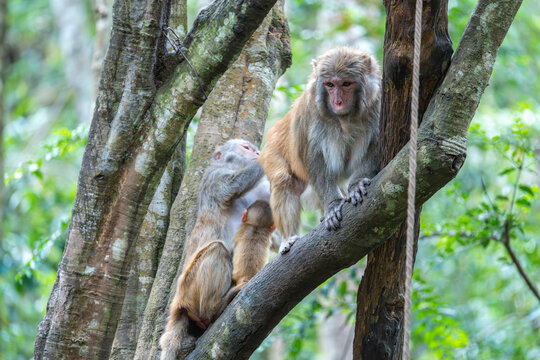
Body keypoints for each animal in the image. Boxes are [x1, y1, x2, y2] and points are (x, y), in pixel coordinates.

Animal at [160, 139, 270, 360]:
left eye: (253, 149)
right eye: (246, 148)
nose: (257, 153)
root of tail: (178, 305)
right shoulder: (214, 176)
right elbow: (231, 186)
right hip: (190, 288)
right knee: (217, 250)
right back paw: (216, 307)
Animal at [260, 47, 380, 253]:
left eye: (346, 83)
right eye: (330, 84)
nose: (337, 101)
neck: (345, 117)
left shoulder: (378, 103)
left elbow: (373, 145)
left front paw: (356, 185)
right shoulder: (311, 111)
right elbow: (313, 158)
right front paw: (332, 205)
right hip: (271, 149)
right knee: (283, 180)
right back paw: (289, 238)